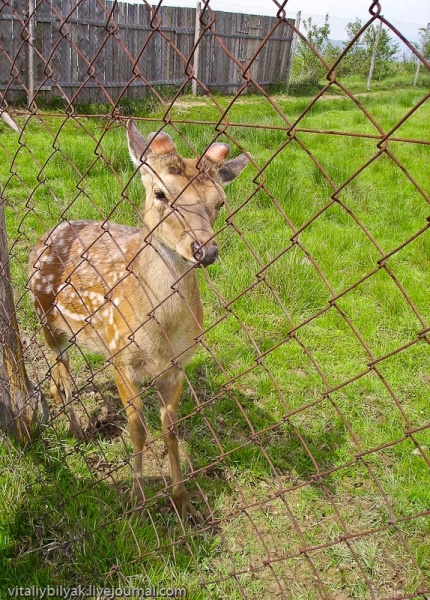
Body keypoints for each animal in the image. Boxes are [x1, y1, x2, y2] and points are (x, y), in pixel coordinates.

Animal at [28, 119, 249, 516]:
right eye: (161, 193)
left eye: (219, 202)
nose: (205, 250)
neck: (161, 334)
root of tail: (50, 231)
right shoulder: (120, 355)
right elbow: (137, 428)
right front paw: (135, 498)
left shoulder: (178, 365)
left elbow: (170, 429)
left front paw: (182, 500)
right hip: (43, 317)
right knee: (60, 375)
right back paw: (77, 430)